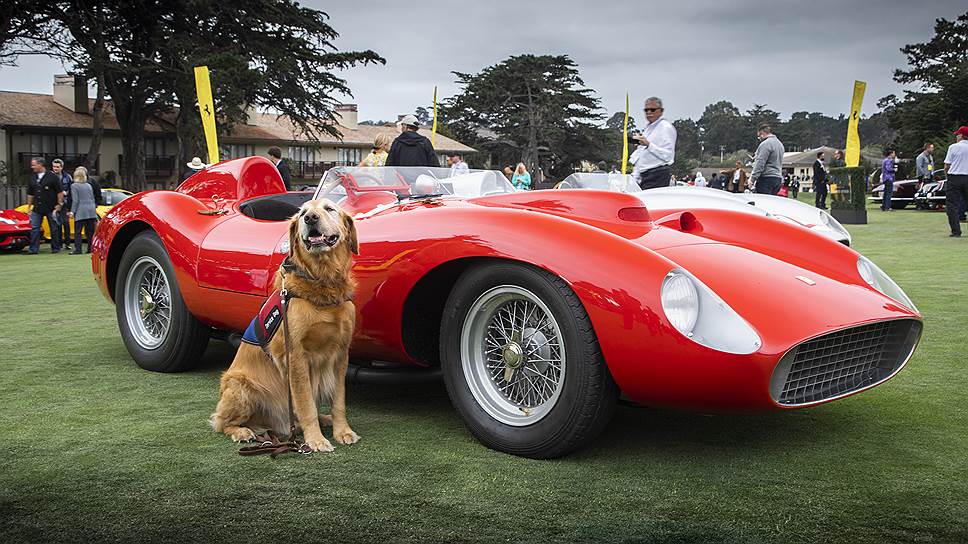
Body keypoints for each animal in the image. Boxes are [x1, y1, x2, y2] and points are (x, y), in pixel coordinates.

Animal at [211, 198, 360, 452]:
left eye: (329, 208)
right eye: (302, 213)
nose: (310, 218)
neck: (322, 282)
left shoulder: (341, 354)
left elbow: (338, 401)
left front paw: (343, 432)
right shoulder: (296, 355)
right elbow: (306, 403)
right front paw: (316, 440)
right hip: (240, 385)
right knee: (221, 422)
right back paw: (242, 432)